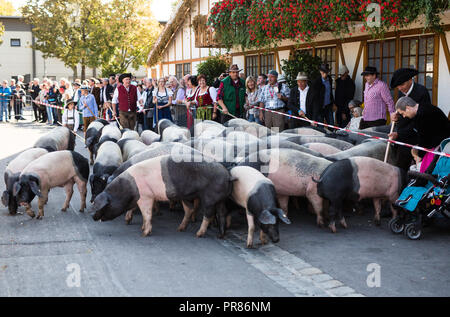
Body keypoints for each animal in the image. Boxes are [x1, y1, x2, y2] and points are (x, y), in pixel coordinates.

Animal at [90, 153, 234, 237]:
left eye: (104, 206)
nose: (92, 216)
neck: (127, 189)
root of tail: (227, 175)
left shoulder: (145, 196)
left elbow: (147, 213)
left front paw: (144, 233)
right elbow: (144, 214)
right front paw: (142, 227)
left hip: (210, 197)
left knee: (208, 214)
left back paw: (198, 234)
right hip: (214, 198)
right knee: (216, 212)